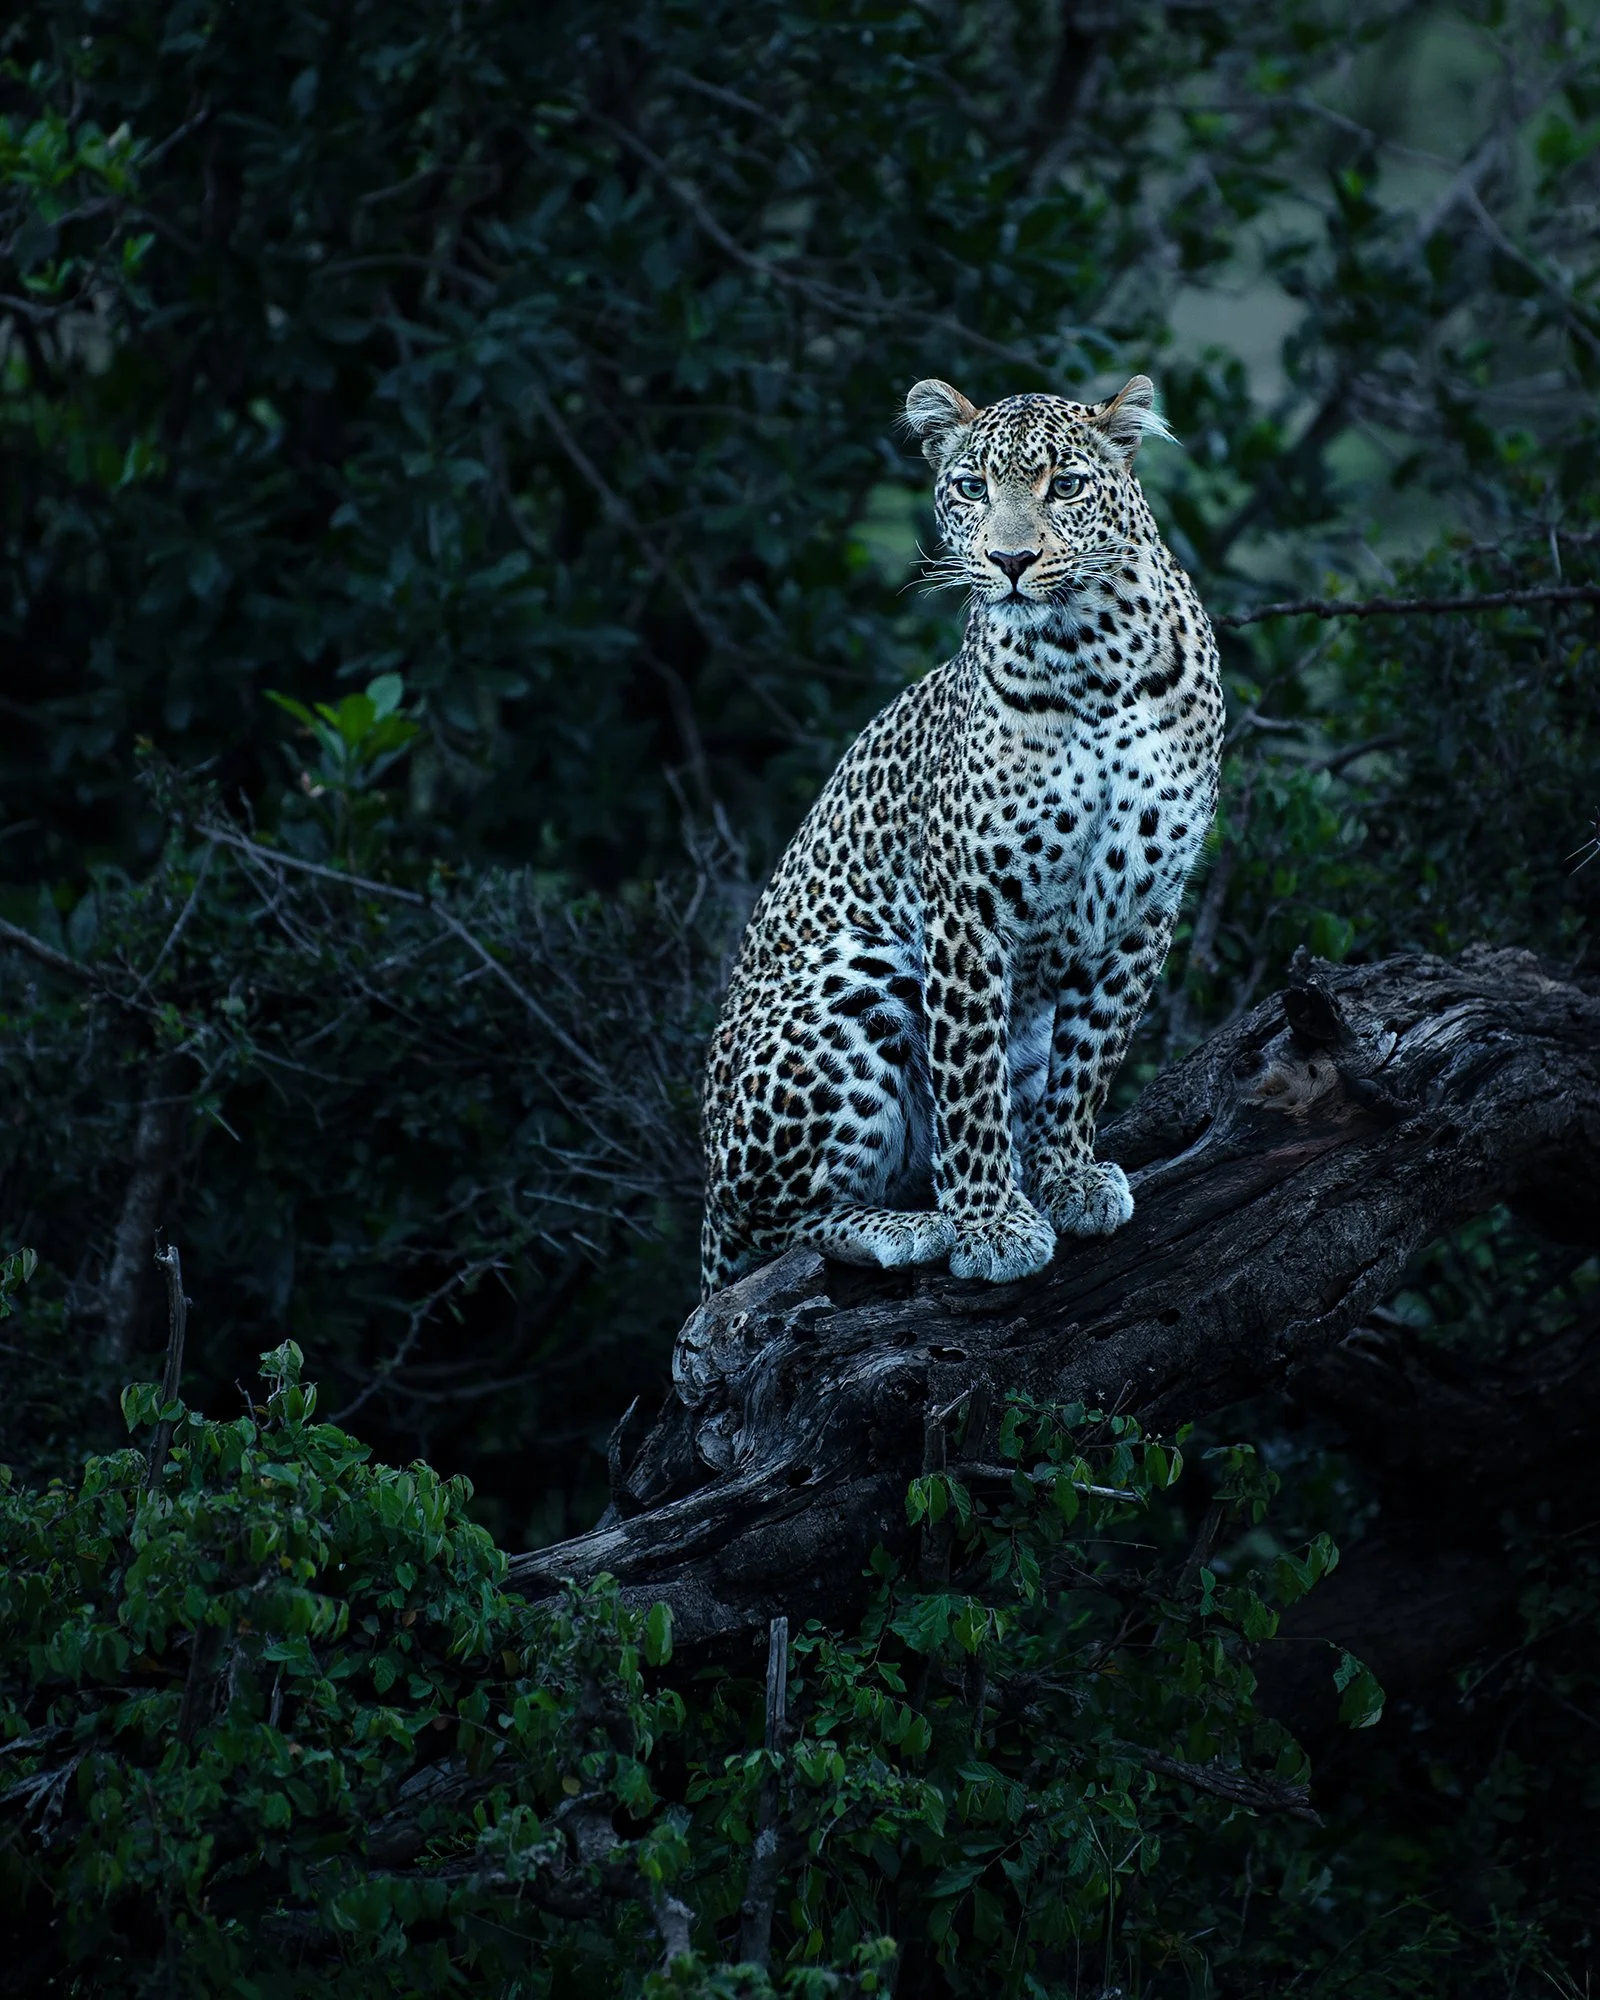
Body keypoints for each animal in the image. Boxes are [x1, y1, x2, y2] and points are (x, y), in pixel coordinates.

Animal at [699, 374, 1223, 1298]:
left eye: (1067, 486)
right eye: (972, 487)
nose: (1009, 562)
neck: (1092, 659)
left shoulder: (1145, 904)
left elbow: (1090, 1060)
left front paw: (1068, 1176)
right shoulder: (967, 909)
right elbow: (969, 1078)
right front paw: (989, 1224)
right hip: (853, 974)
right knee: (773, 1227)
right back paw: (909, 1226)